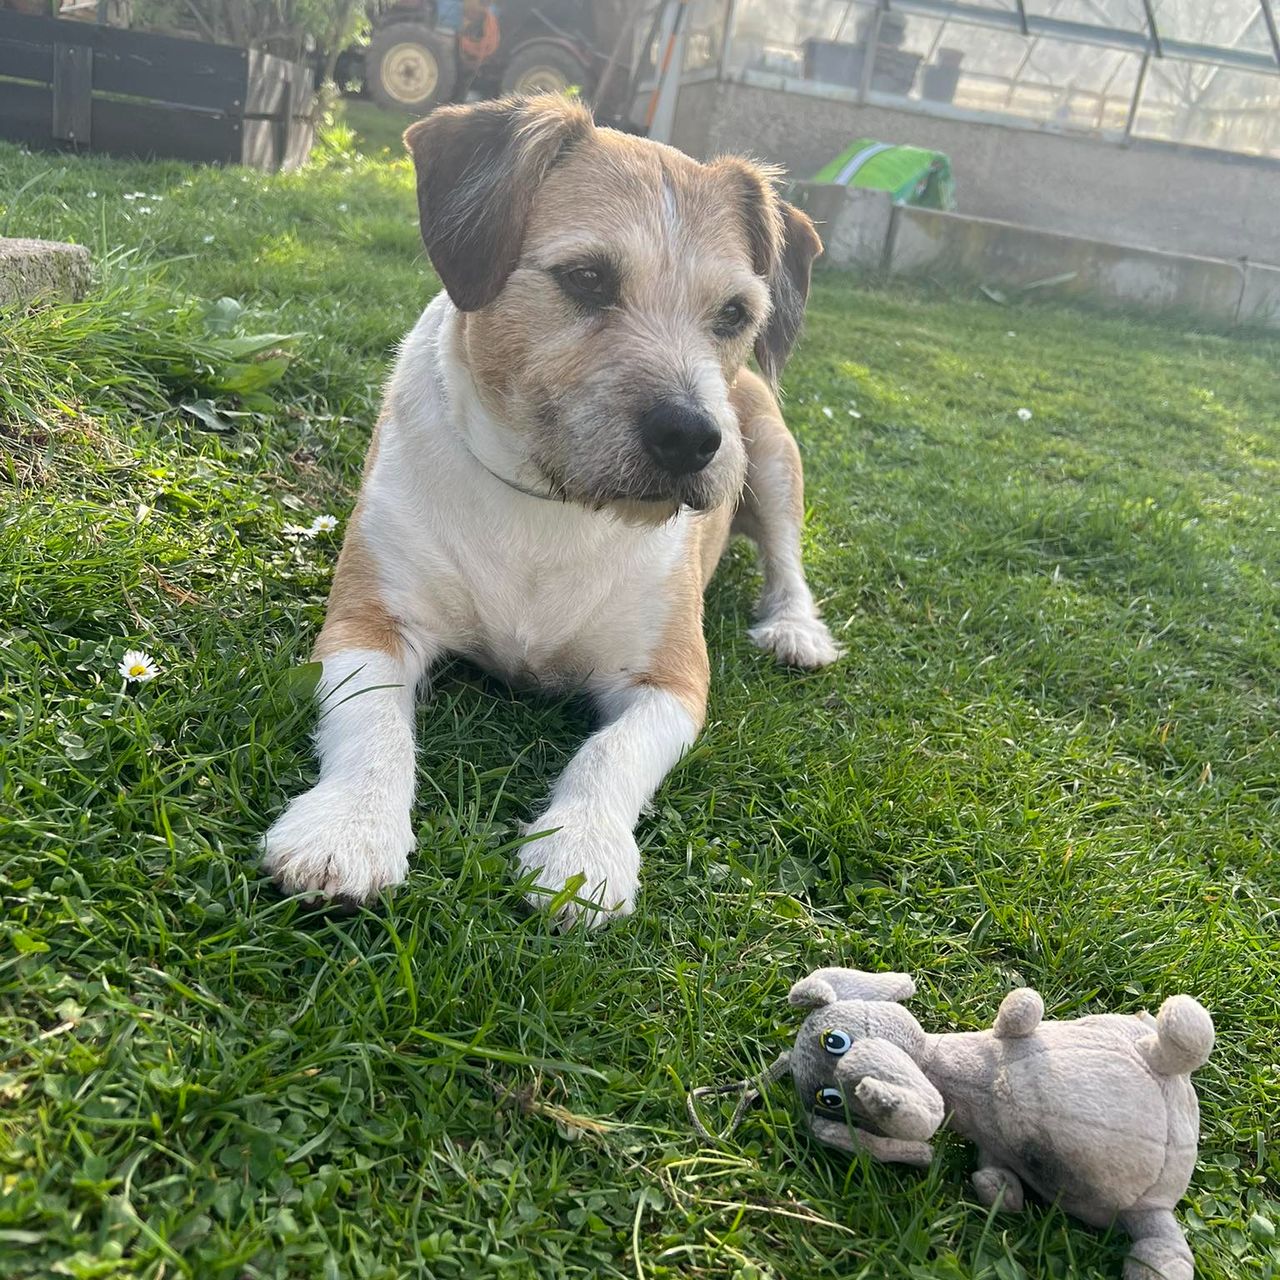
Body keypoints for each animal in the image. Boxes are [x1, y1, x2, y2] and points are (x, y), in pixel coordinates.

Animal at [261, 94, 839, 926]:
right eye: (587, 277)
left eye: (734, 313)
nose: (693, 436)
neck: (551, 502)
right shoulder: (369, 622)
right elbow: (371, 719)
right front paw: (348, 827)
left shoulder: (672, 679)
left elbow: (612, 752)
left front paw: (581, 852)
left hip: (771, 461)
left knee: (785, 558)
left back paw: (795, 629)